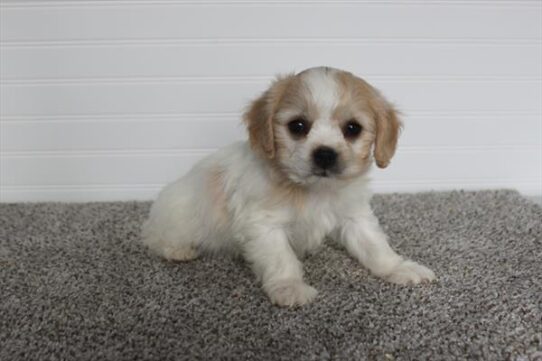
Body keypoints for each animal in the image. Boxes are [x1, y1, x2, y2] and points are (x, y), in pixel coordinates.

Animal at [143, 66, 438, 306]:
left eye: (353, 128)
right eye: (297, 125)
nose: (325, 154)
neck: (313, 190)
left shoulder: (355, 216)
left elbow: (375, 247)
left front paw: (399, 268)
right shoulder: (264, 225)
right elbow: (281, 259)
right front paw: (290, 288)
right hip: (175, 219)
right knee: (155, 239)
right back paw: (178, 250)